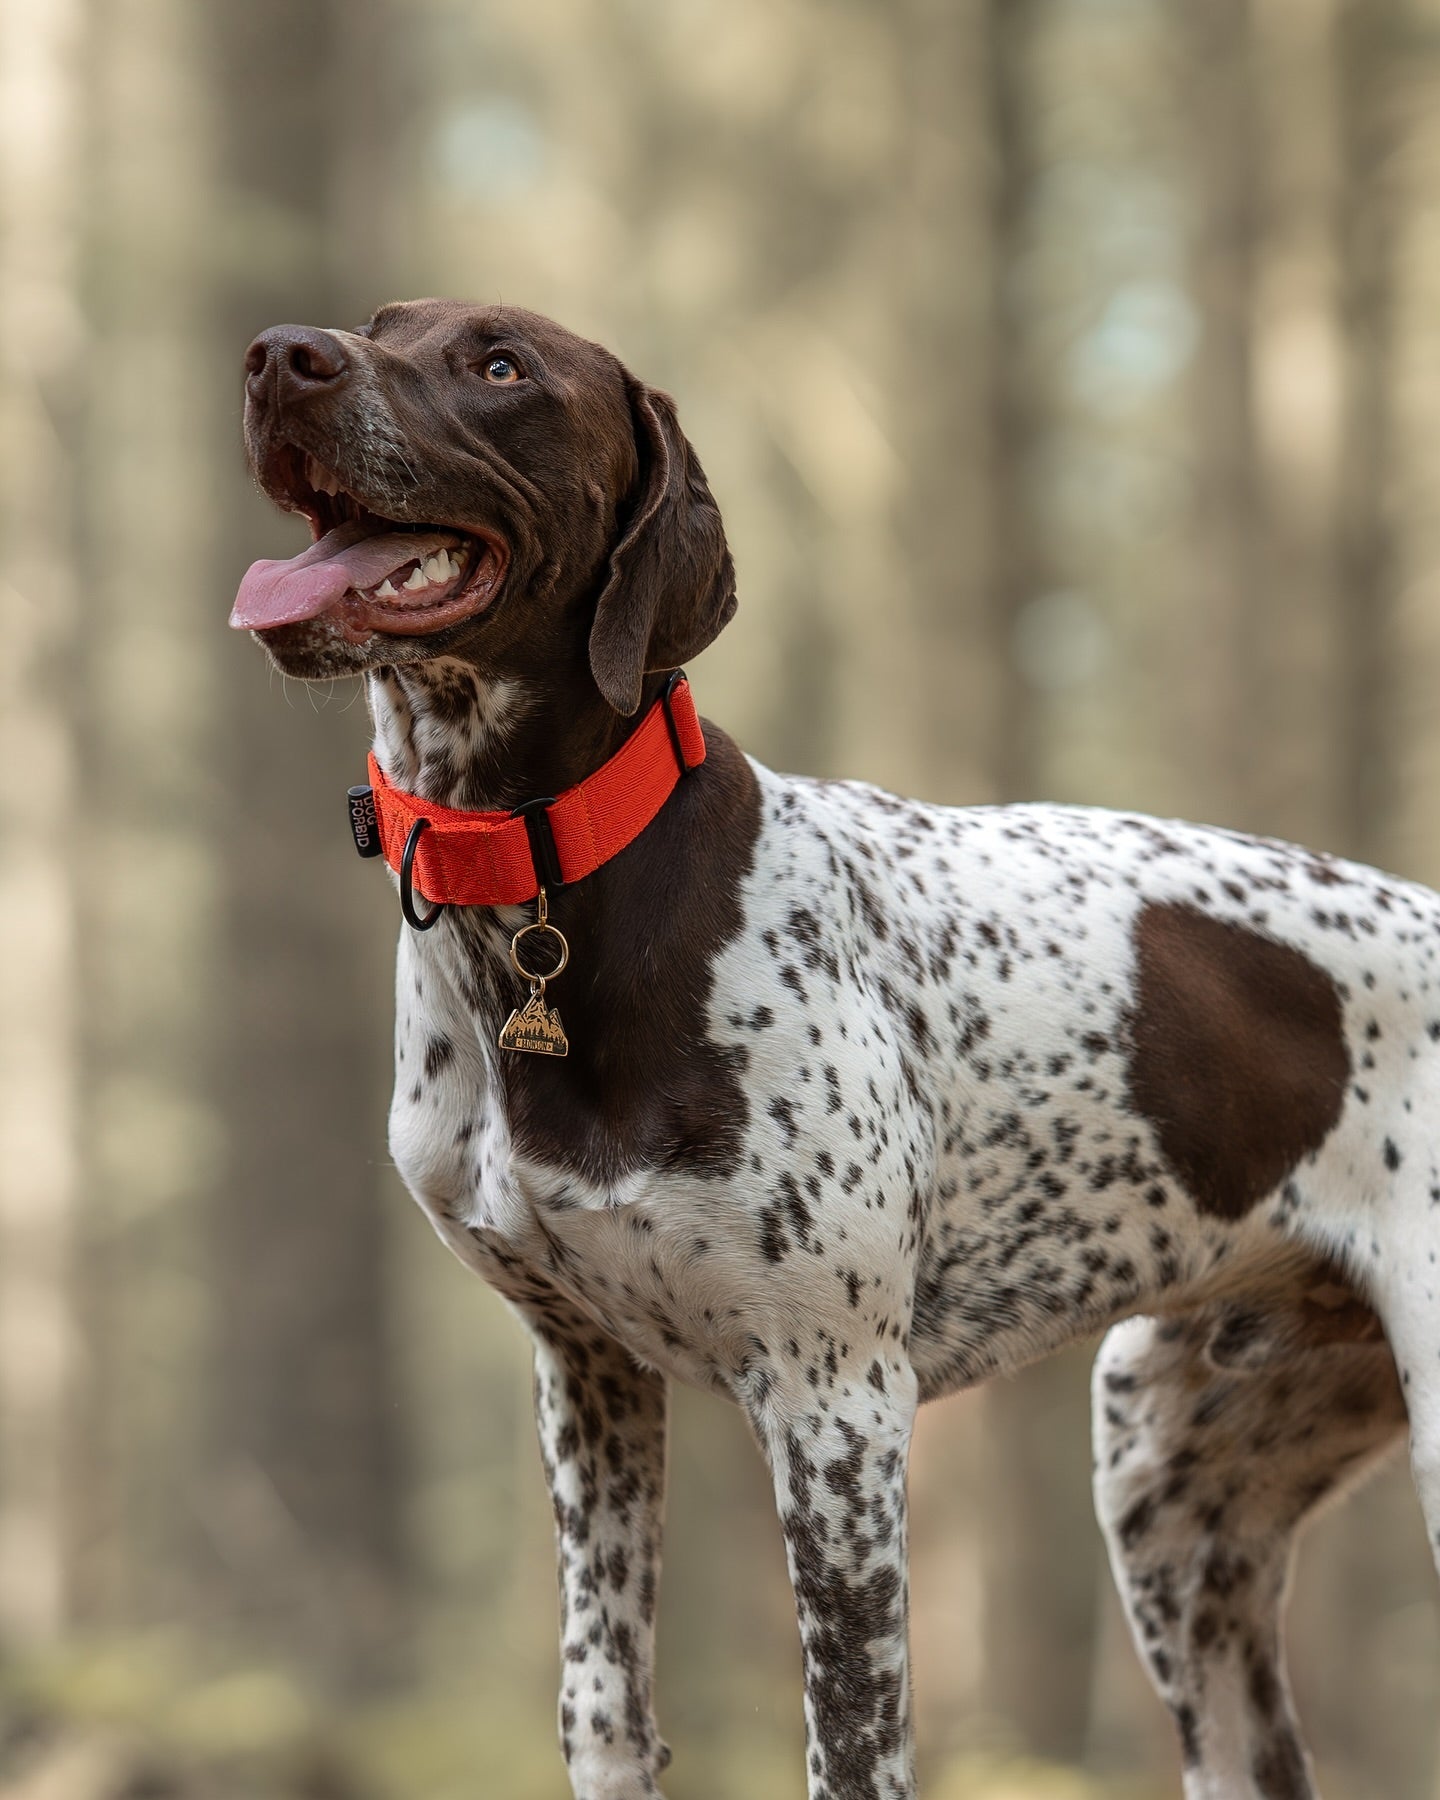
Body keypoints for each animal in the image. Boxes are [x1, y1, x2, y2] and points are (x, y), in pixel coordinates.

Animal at [234, 298, 1418, 1800]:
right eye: (383, 324)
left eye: (500, 364)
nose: (278, 355)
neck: (551, 876)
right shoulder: (588, 1375)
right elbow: (602, 1709)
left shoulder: (836, 1407)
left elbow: (852, 1743)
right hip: (1173, 1507)